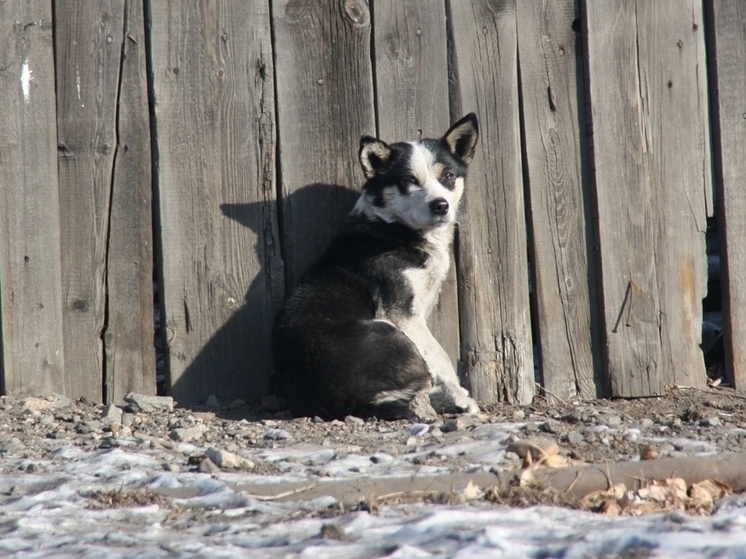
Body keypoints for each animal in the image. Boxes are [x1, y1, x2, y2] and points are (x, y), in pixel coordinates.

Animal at [270, 115, 480, 420]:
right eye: (408, 181)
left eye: (449, 176)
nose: (441, 205)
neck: (395, 227)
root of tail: (353, 403)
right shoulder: (404, 316)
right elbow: (439, 357)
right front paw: (462, 397)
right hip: (386, 330)